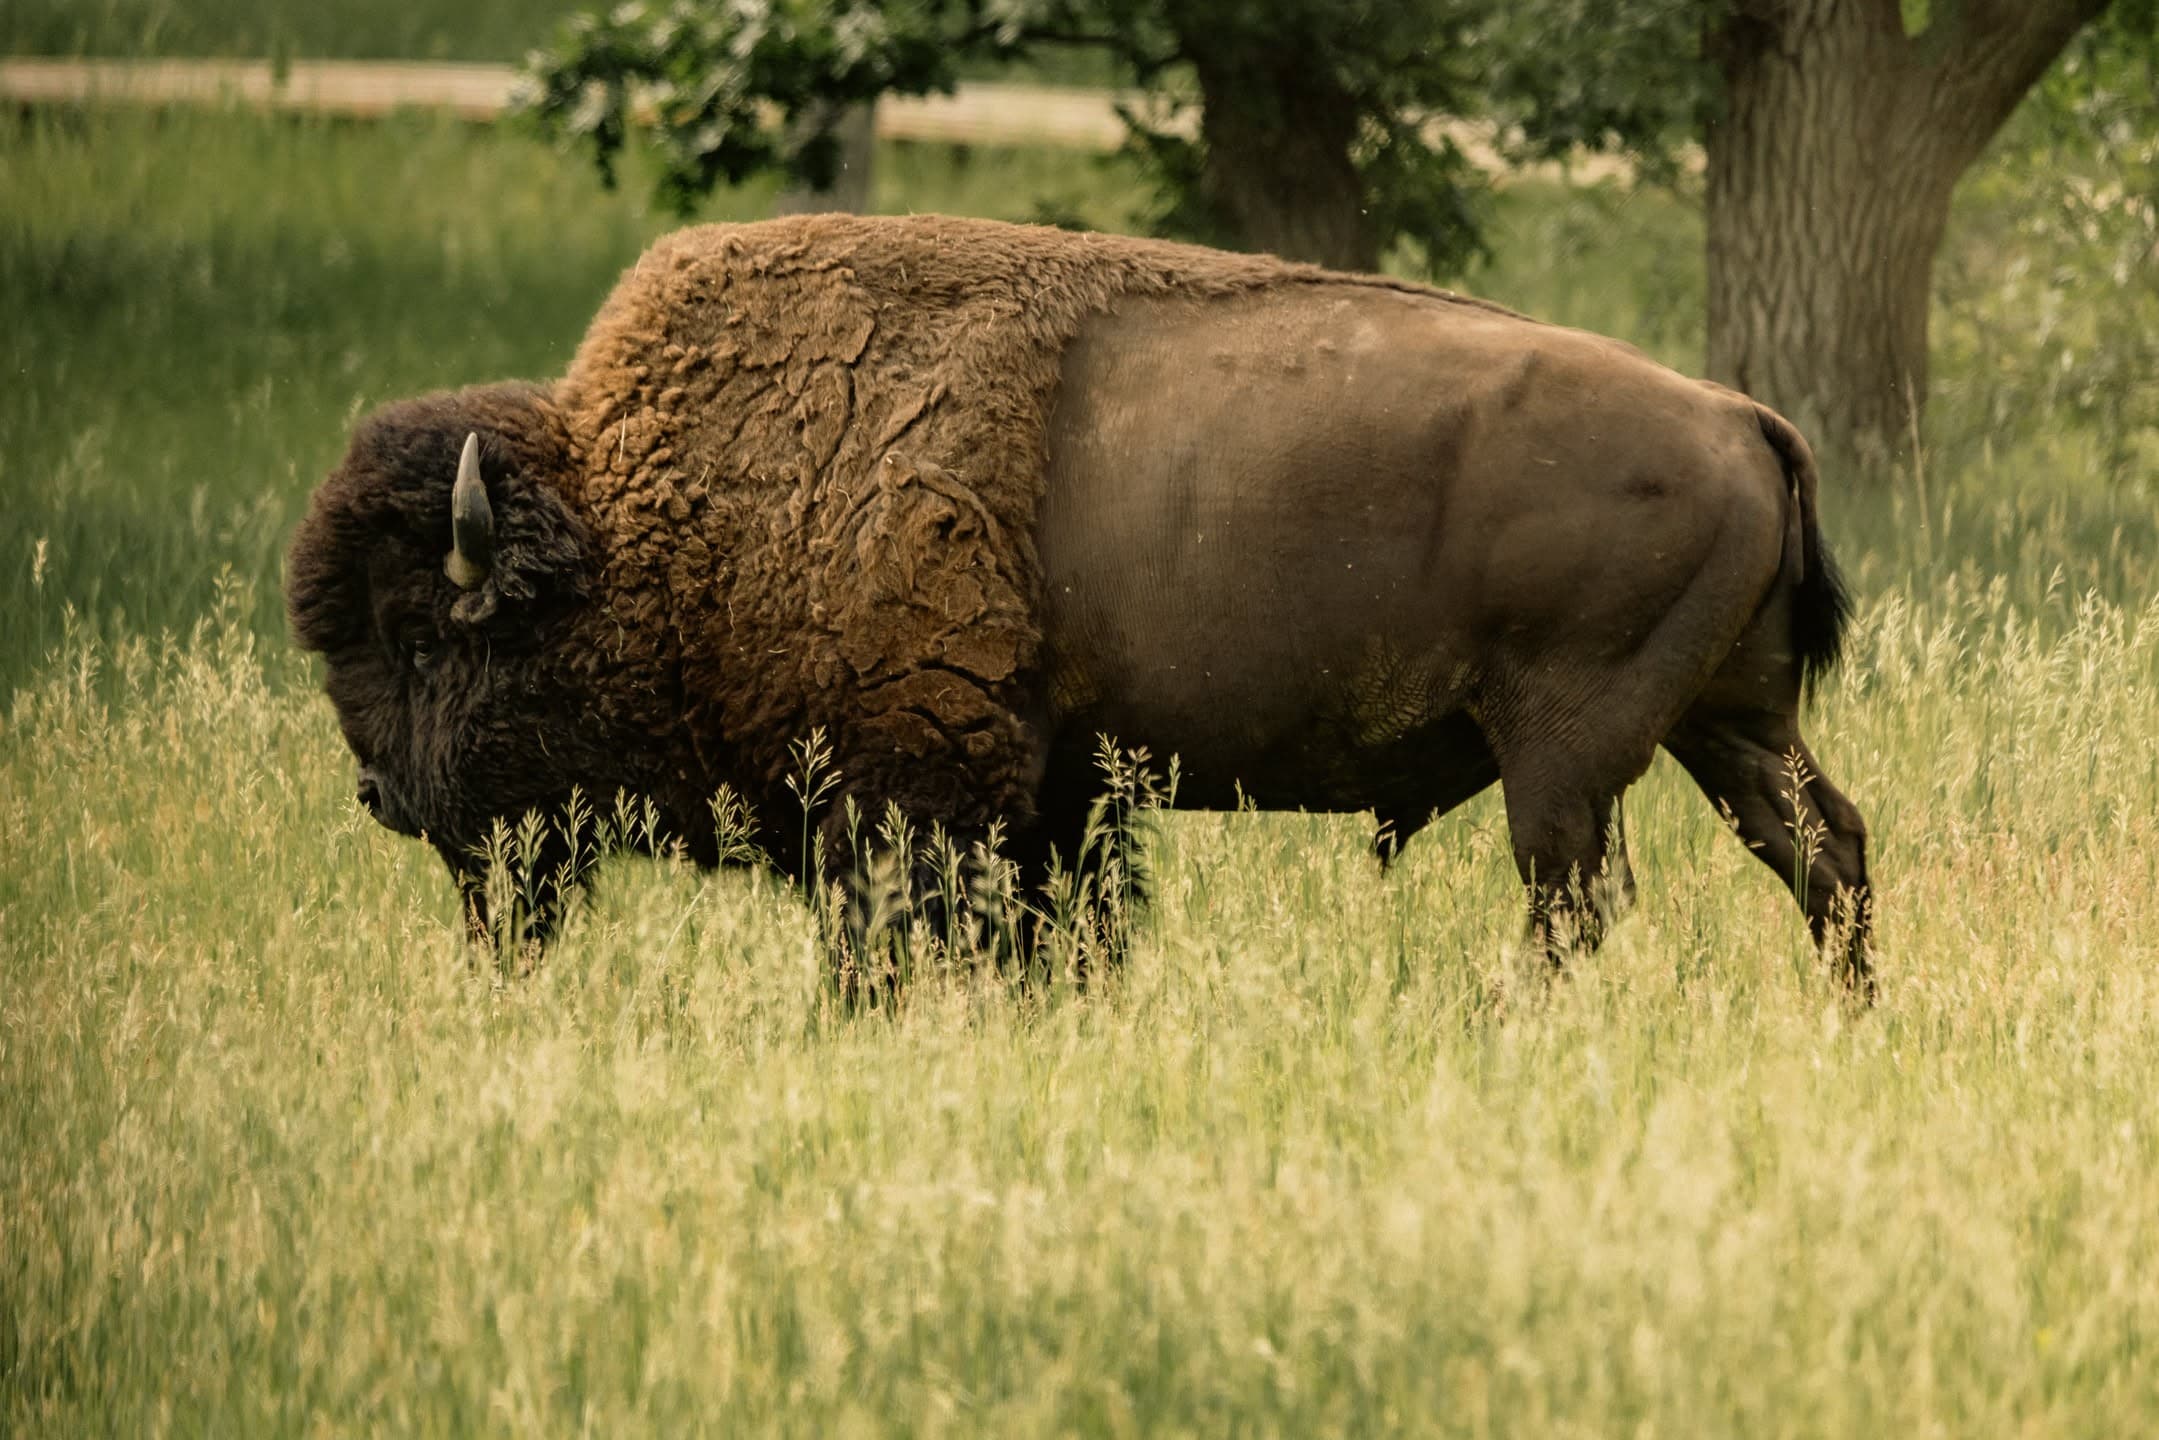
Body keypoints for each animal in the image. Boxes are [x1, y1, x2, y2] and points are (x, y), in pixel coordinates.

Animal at [287, 214, 1872, 991]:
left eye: (422, 637)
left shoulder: (904, 801)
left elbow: (894, 944)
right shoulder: (1054, 796)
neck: (646, 519)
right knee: (1821, 848)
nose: (377, 794)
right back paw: (1848, 1018)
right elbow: (1066, 932)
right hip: (1723, 722)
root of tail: (1740, 416)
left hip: (1566, 749)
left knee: (1577, 898)